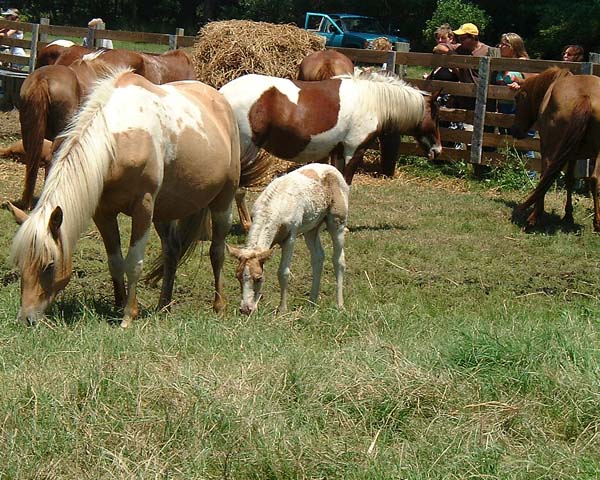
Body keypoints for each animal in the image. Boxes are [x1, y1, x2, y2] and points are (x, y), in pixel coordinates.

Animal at [8, 70, 251, 326]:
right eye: (20, 264)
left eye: (49, 265)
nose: (25, 319)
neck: (117, 141)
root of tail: (220, 100)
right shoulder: (103, 212)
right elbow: (115, 261)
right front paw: (119, 304)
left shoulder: (143, 208)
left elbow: (134, 262)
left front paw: (128, 316)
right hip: (164, 211)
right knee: (172, 251)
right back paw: (163, 305)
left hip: (223, 200)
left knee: (217, 251)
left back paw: (219, 305)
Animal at [230, 163, 352, 316]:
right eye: (238, 277)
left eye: (259, 278)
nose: (246, 310)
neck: (275, 205)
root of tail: (333, 169)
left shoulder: (290, 238)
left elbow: (283, 272)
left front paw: (282, 309)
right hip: (311, 229)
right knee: (318, 258)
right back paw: (312, 302)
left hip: (337, 223)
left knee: (339, 260)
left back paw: (340, 305)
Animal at [508, 67, 600, 231]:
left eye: (517, 98)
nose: (514, 130)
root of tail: (585, 97)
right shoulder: (572, 155)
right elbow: (570, 179)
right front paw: (568, 215)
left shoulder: (547, 148)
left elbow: (547, 177)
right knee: (596, 180)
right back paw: (597, 223)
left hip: (551, 149)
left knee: (547, 175)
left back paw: (534, 217)